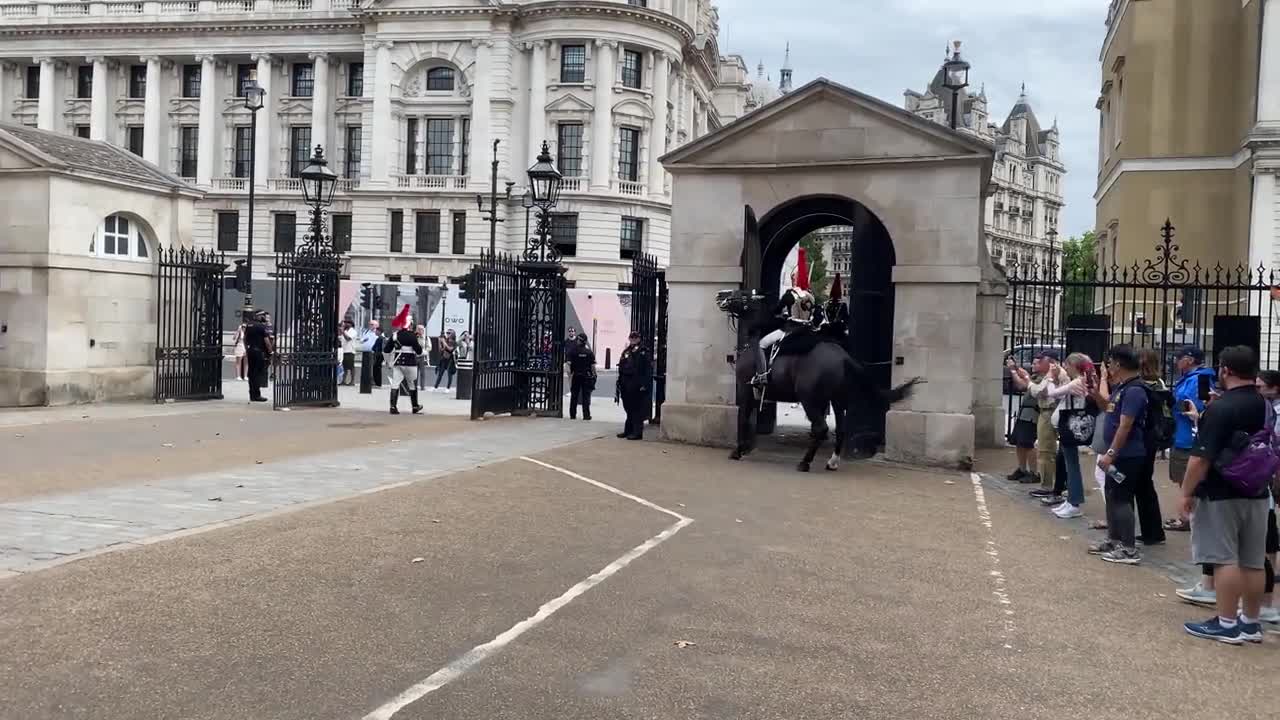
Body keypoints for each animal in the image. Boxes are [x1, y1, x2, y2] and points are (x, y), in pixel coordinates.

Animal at [721, 289, 921, 471]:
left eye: (741, 295)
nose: (720, 297)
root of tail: (842, 357)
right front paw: (745, 448)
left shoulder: (745, 388)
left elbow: (744, 418)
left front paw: (739, 450)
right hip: (837, 399)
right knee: (840, 429)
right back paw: (832, 462)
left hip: (809, 399)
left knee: (820, 428)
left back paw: (805, 462)